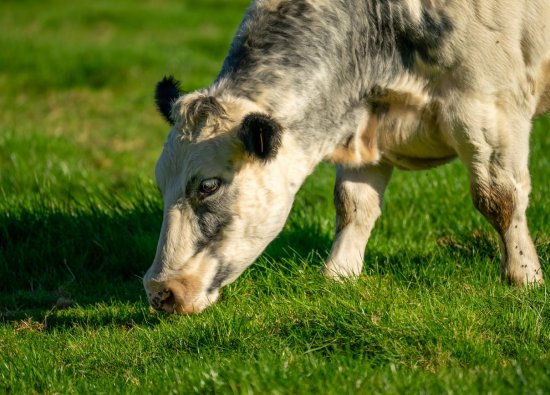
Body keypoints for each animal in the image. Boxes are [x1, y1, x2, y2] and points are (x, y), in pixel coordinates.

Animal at [143, 0, 550, 316]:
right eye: (160, 185)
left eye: (209, 186)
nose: (160, 291)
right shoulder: (367, 129)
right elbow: (354, 205)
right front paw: (338, 274)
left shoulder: (489, 107)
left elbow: (498, 198)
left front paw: (524, 276)